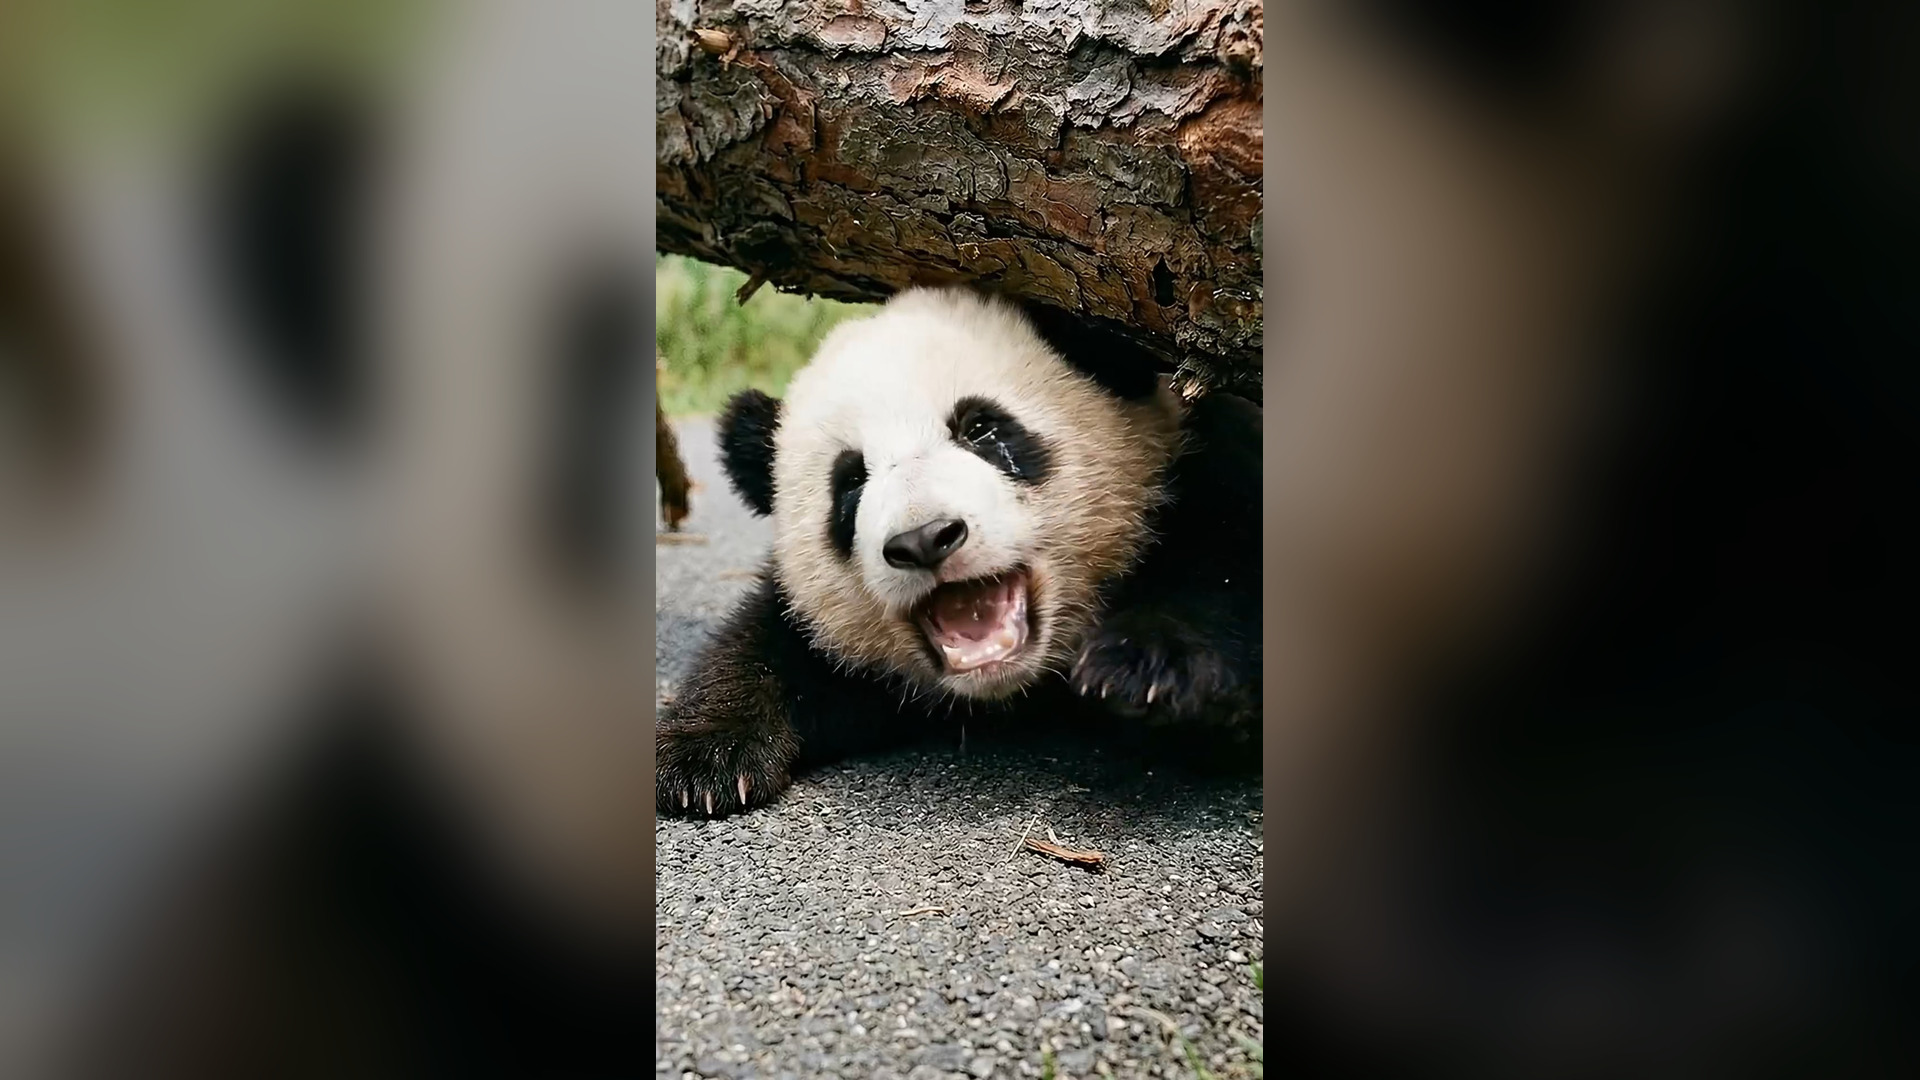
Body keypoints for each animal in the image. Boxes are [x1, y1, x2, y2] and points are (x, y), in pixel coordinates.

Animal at [657, 287, 1261, 817]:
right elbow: (768, 641)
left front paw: (1147, 667)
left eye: (981, 429)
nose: (924, 538)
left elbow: (1226, 560)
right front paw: (702, 759)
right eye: (849, 482)